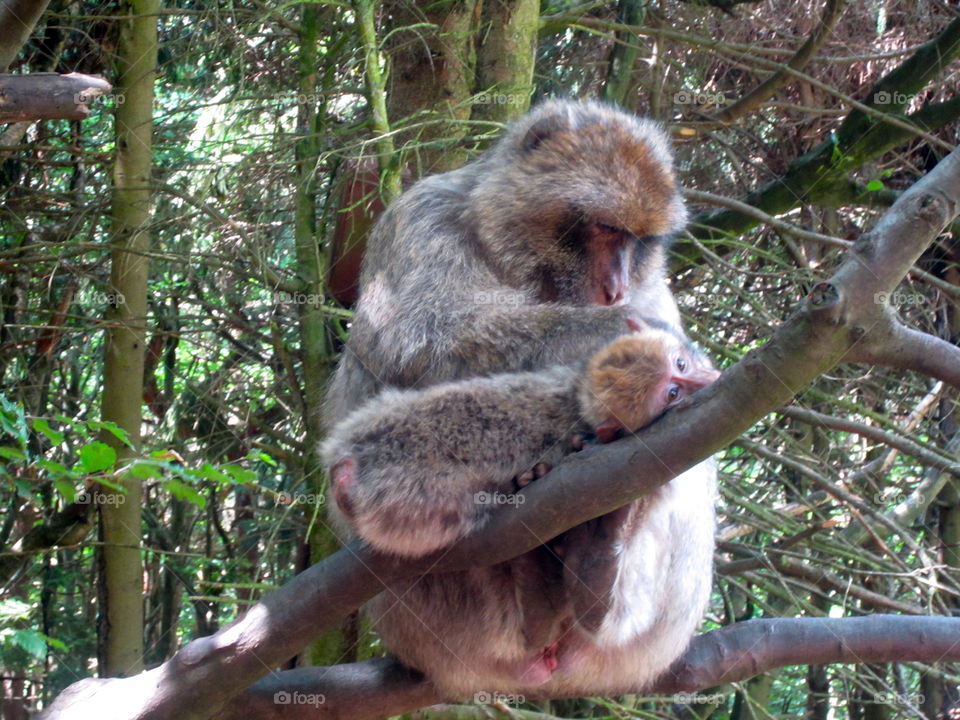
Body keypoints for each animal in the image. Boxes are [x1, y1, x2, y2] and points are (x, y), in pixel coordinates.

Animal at [322, 98, 718, 697]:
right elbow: (419, 333)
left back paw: (595, 574)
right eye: (604, 228)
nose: (615, 290)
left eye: (639, 242)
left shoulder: (655, 285)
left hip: (659, 624)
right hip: (437, 621)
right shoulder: (420, 218)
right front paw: (612, 335)